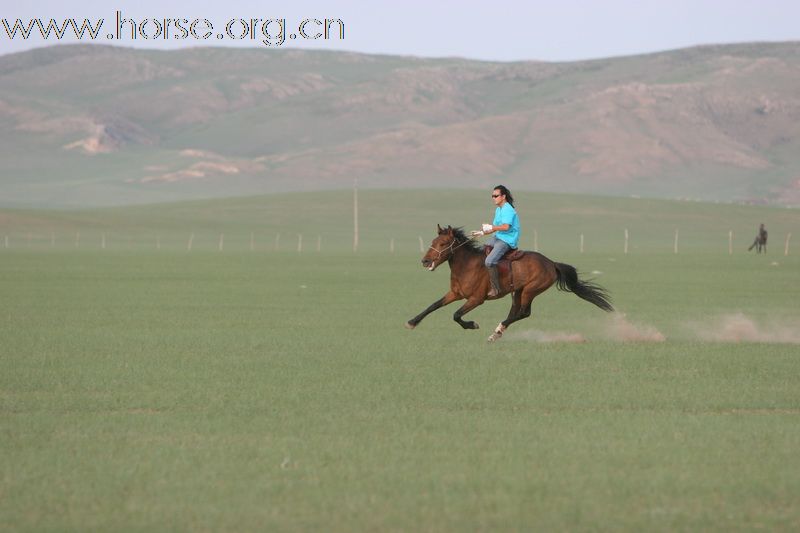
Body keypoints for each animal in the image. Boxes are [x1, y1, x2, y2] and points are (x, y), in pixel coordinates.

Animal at [406, 224, 612, 340]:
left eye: (442, 244)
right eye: (433, 241)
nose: (425, 261)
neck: (467, 266)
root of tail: (551, 263)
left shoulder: (476, 299)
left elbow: (456, 315)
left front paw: (472, 325)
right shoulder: (455, 294)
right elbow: (433, 306)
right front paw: (412, 322)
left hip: (530, 291)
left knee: (523, 313)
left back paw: (497, 330)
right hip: (518, 292)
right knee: (515, 312)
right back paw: (497, 332)